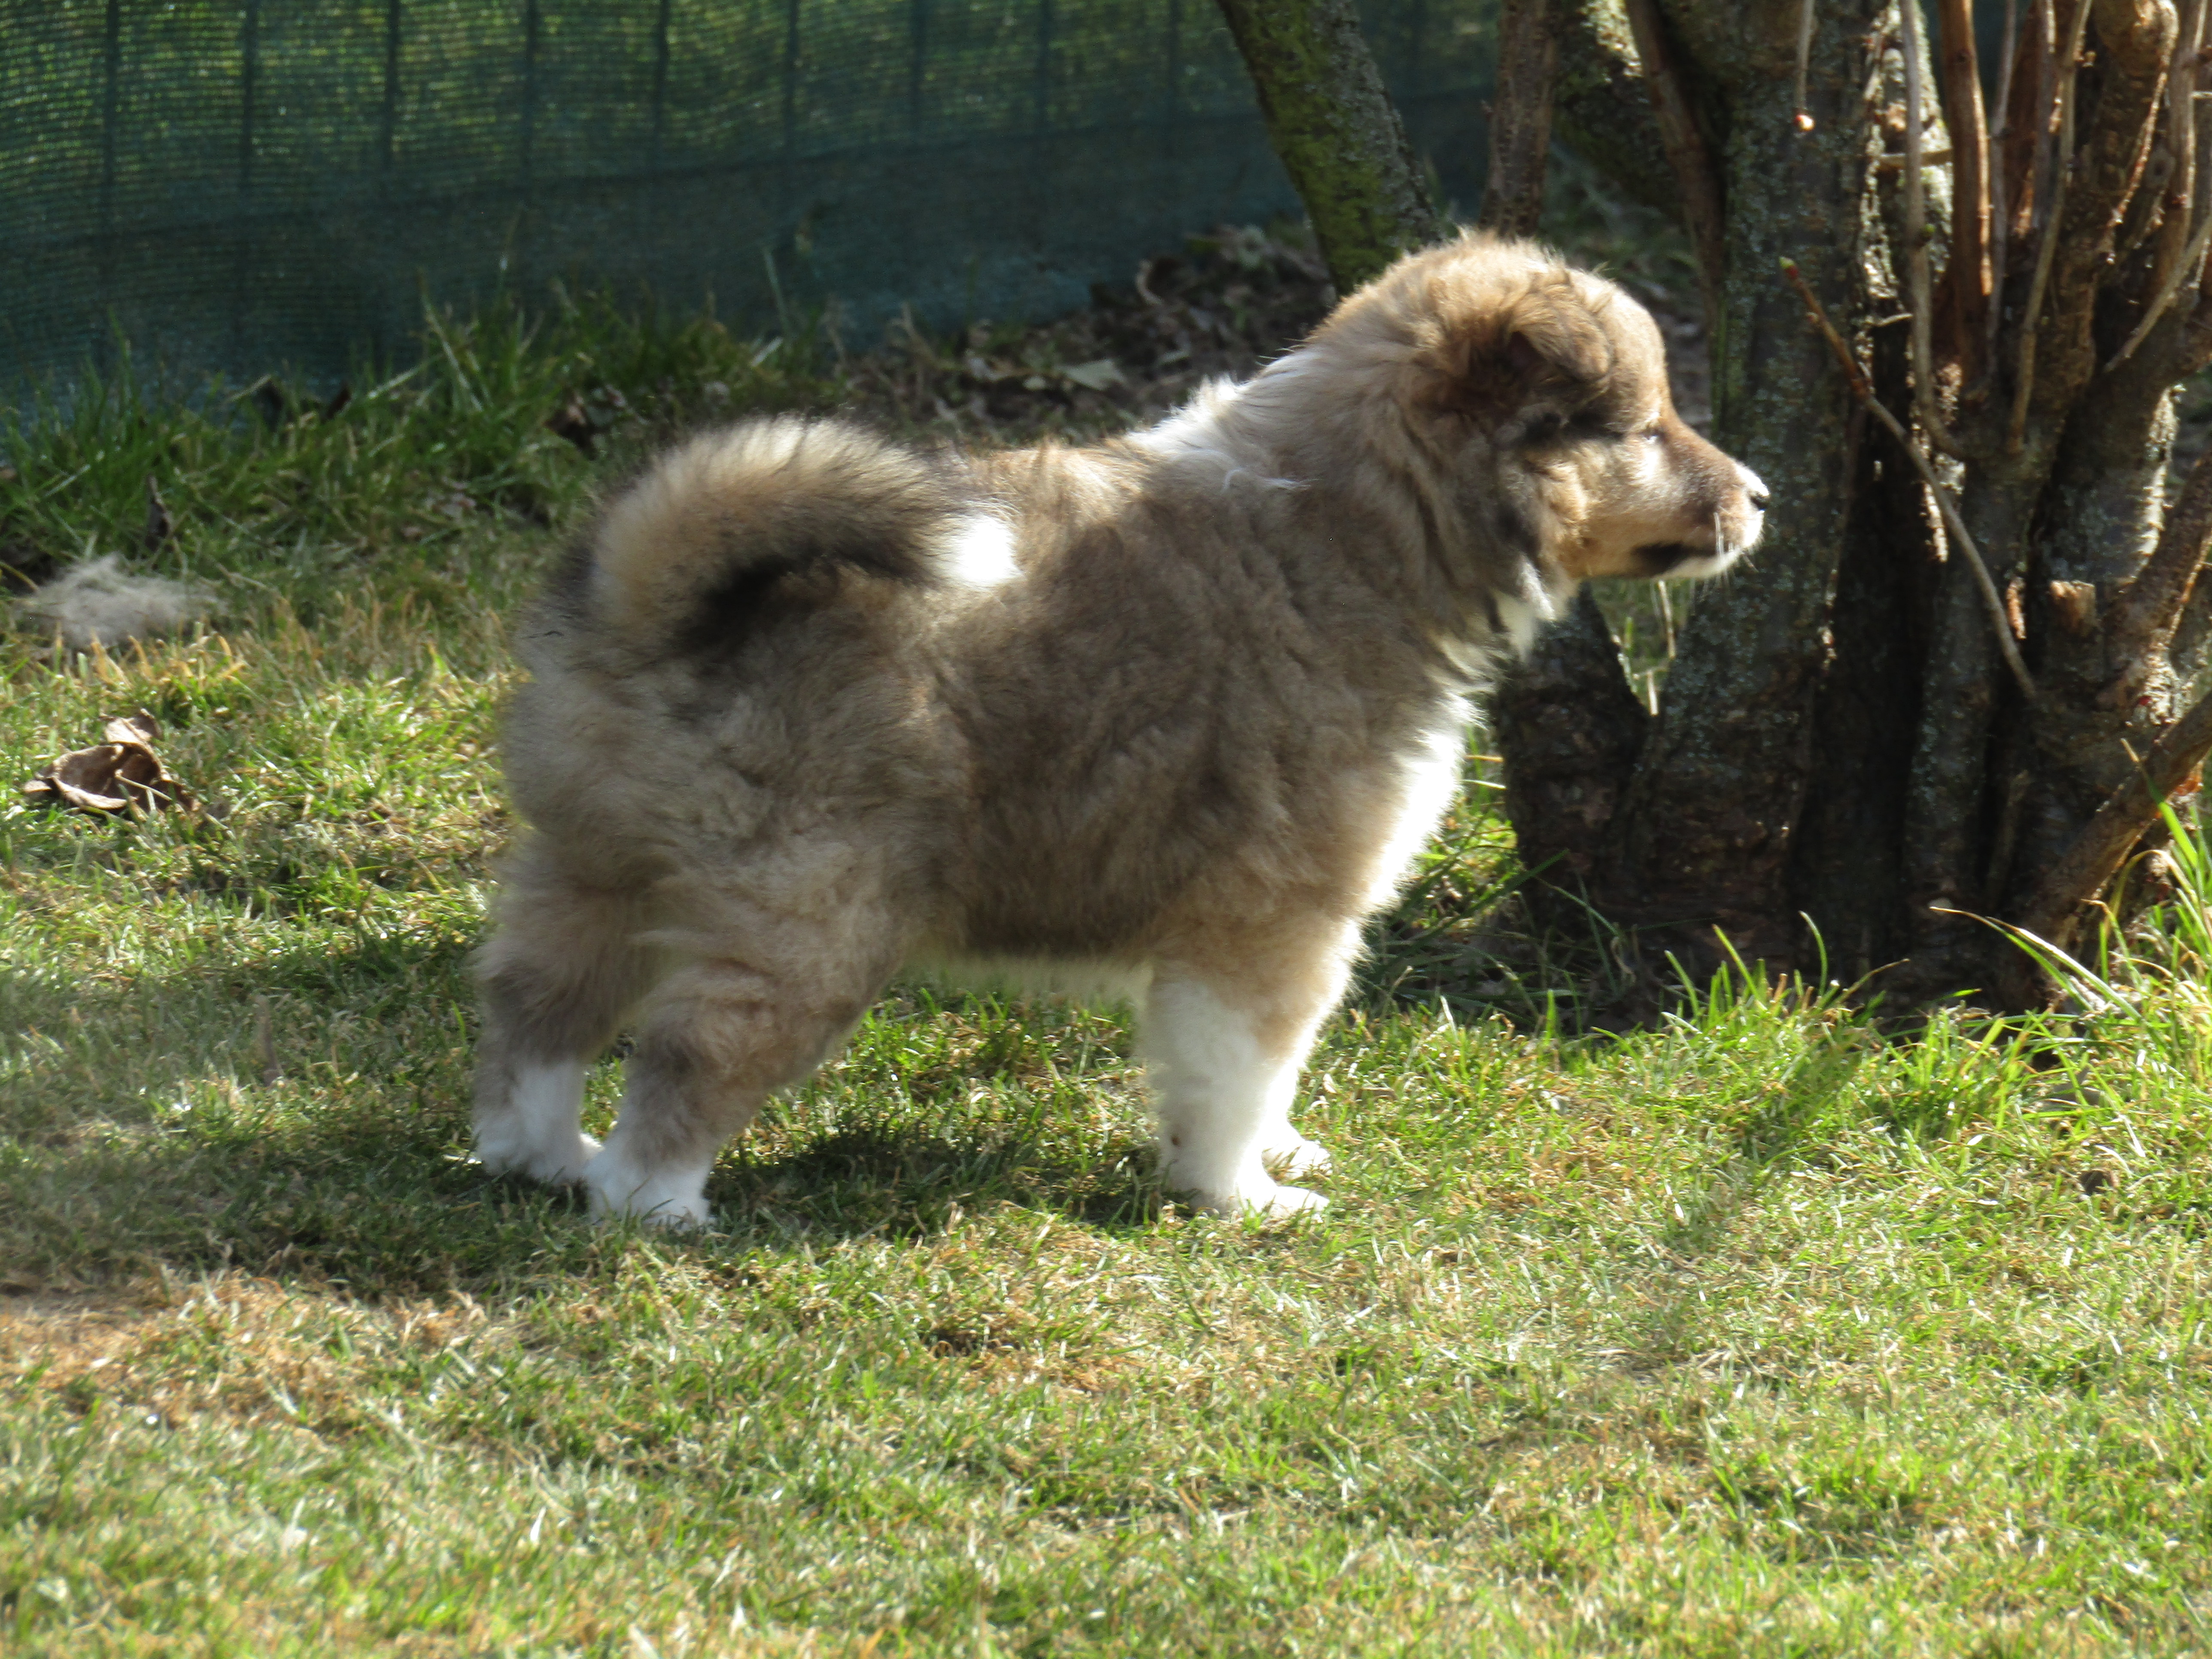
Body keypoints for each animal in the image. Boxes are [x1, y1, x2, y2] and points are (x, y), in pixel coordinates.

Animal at [467, 231, 1760, 1221]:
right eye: (1643, 428)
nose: (1761, 497)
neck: (1358, 517)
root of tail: (653, 604)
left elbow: (1266, 1073)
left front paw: (1278, 1154)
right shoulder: (1269, 925)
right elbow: (1239, 1068)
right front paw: (1243, 1198)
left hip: (593, 868)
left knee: (536, 1009)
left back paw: (544, 1157)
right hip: (811, 921)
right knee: (693, 1050)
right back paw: (654, 1203)